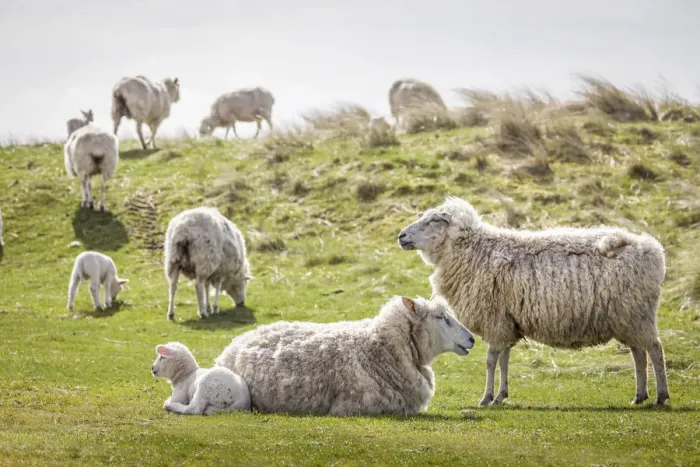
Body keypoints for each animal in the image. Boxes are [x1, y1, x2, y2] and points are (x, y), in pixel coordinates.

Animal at [397, 196, 669, 406]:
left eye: (432, 221)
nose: (401, 236)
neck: (471, 250)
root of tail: (652, 248)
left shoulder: (495, 319)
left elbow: (490, 361)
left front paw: (486, 398)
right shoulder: (507, 321)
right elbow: (504, 360)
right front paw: (501, 396)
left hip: (637, 314)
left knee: (655, 350)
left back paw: (661, 397)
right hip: (628, 317)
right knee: (638, 353)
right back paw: (639, 396)